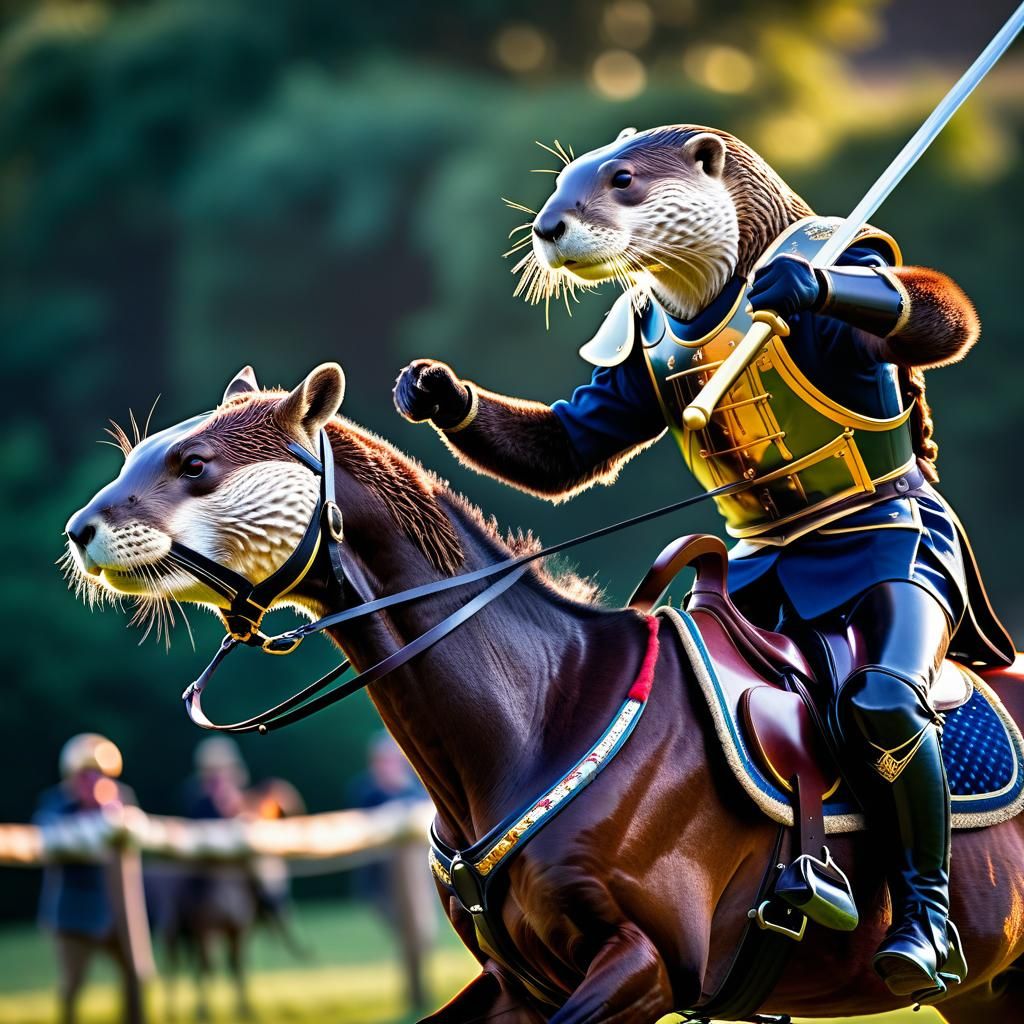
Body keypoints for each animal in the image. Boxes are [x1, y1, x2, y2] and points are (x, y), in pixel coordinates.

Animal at [62, 362, 1024, 1023]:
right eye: (145, 454)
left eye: (195, 462)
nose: (80, 530)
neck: (542, 713)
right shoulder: (519, 986)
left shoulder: (645, 966)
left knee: (884, 711)